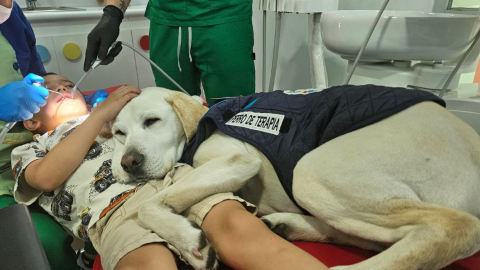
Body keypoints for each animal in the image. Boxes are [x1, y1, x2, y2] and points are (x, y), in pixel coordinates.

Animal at [109, 86, 480, 270]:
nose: (129, 162)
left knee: (453, 229)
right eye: (118, 134)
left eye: (152, 121)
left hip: (311, 171)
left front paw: (188, 243)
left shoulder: (237, 159)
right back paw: (287, 224)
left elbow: (148, 207)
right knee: (383, 239)